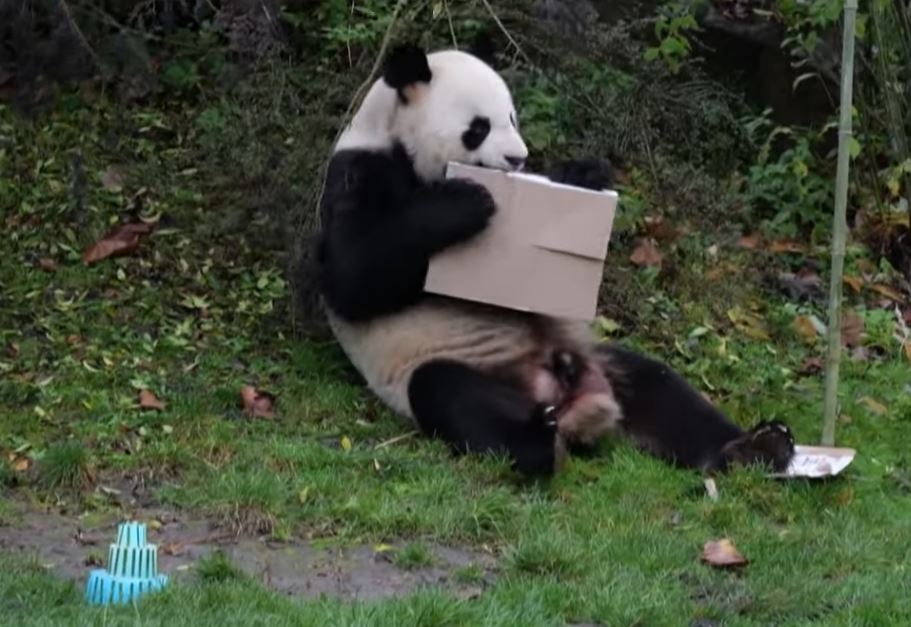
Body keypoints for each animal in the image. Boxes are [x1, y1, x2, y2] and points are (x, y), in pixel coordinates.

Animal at [310, 43, 796, 477]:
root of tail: (573, 403)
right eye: (479, 127)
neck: (395, 137)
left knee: (662, 390)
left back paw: (756, 447)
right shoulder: (360, 172)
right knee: (451, 394)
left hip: (602, 359)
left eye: (512, 117)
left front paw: (582, 174)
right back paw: (535, 442)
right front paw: (464, 202)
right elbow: (352, 278)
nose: (518, 157)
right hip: (441, 363)